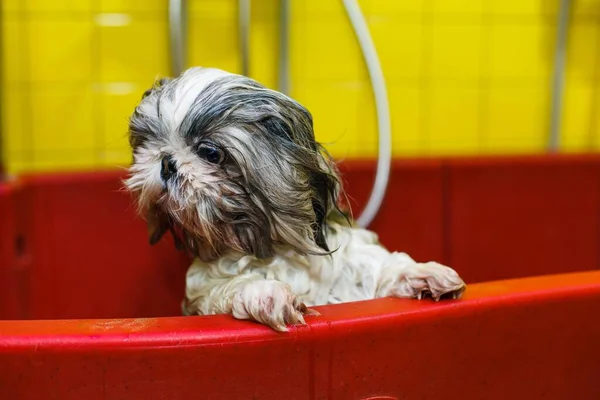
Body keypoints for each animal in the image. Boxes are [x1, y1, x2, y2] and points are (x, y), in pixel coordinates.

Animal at [125, 68, 464, 332]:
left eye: (210, 152)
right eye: (147, 146)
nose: (166, 162)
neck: (275, 249)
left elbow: (378, 269)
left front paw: (423, 273)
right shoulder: (206, 290)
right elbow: (233, 287)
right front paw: (266, 293)